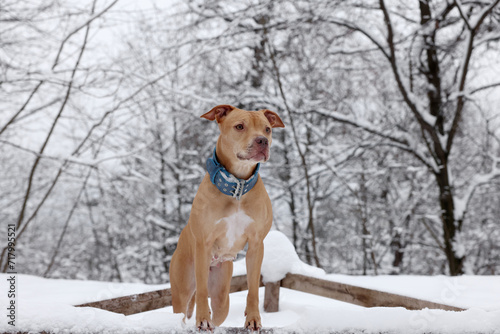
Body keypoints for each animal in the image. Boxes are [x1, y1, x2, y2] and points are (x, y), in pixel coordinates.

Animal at [169, 105, 284, 332]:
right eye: (239, 126)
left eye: (267, 129)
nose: (262, 141)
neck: (237, 185)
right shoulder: (204, 244)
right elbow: (202, 291)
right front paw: (203, 319)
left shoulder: (256, 245)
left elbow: (253, 288)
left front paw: (253, 318)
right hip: (182, 286)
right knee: (183, 310)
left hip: (222, 292)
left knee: (219, 308)